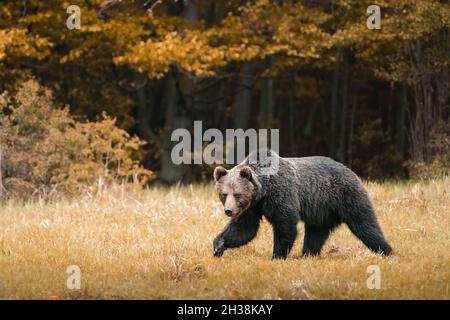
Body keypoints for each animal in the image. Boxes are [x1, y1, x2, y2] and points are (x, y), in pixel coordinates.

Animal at [213, 149, 392, 258]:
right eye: (224, 194)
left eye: (237, 194)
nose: (229, 210)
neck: (263, 192)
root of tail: (350, 170)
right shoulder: (252, 208)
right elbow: (243, 229)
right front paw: (218, 246)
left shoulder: (282, 194)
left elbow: (285, 225)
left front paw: (277, 255)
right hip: (322, 210)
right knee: (316, 233)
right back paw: (308, 254)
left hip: (347, 196)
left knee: (365, 224)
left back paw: (386, 250)